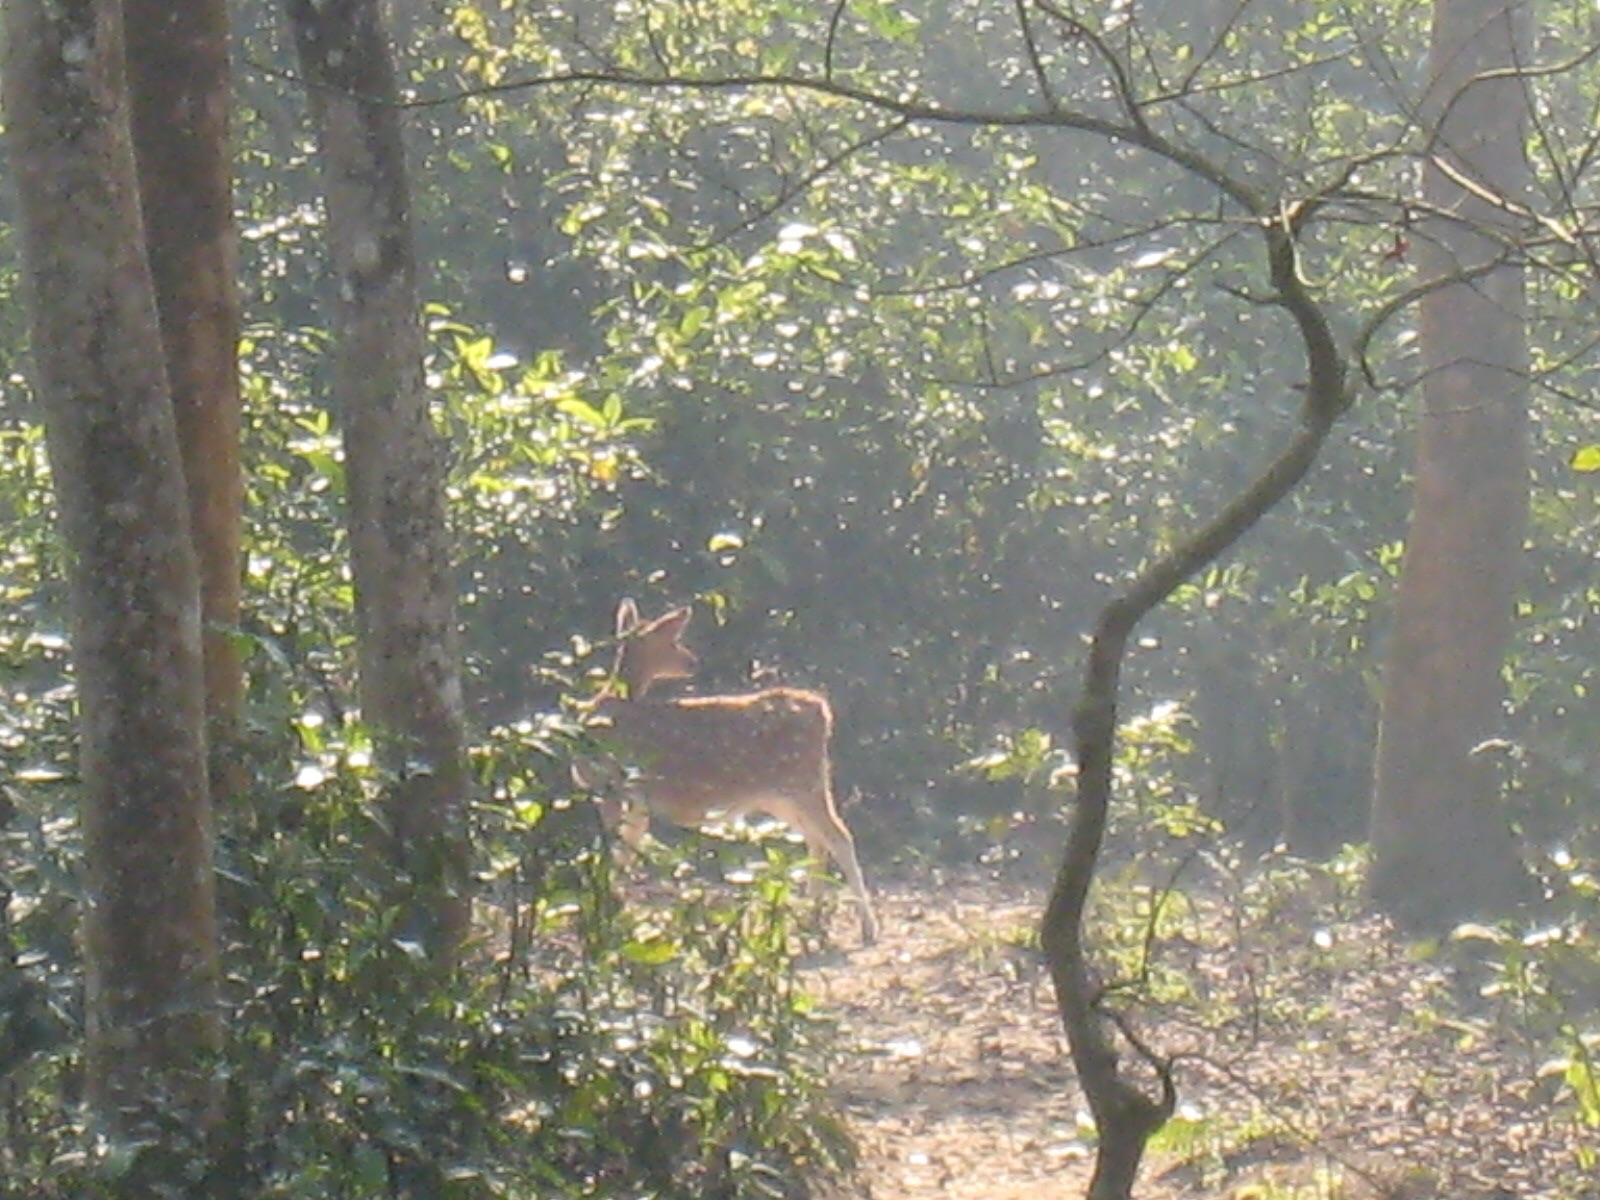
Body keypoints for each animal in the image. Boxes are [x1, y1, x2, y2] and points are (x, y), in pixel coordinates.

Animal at [579, 601, 876, 947]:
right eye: (673, 642)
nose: (692, 661)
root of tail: (823, 712)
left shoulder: (618, 788)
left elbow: (616, 853)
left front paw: (608, 915)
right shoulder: (628, 797)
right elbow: (622, 851)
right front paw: (612, 912)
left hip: (804, 781)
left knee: (839, 836)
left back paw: (865, 928)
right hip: (781, 795)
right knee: (816, 839)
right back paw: (810, 920)